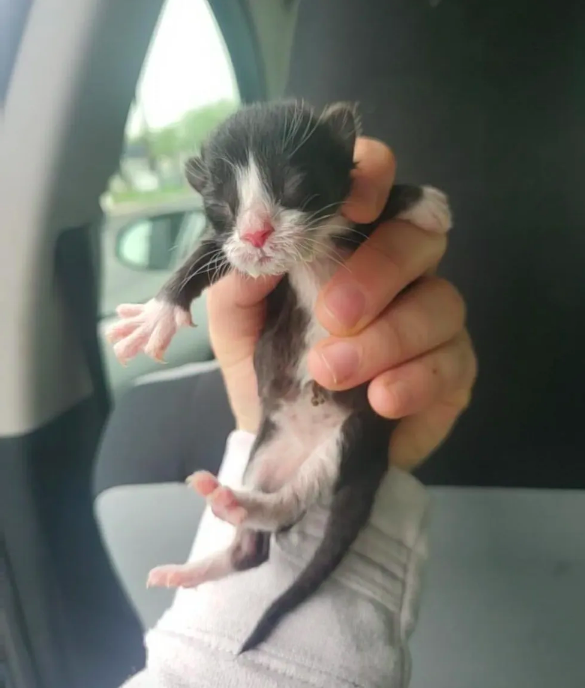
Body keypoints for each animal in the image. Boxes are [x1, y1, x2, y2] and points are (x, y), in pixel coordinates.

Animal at [106, 99, 452, 652]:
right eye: (223, 206)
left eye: (293, 186)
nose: (255, 234)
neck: (308, 256)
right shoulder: (225, 248)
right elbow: (201, 257)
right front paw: (157, 315)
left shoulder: (351, 220)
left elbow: (373, 209)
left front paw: (420, 201)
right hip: (266, 450)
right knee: (256, 545)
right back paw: (210, 541)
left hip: (354, 435)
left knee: (294, 501)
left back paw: (234, 507)